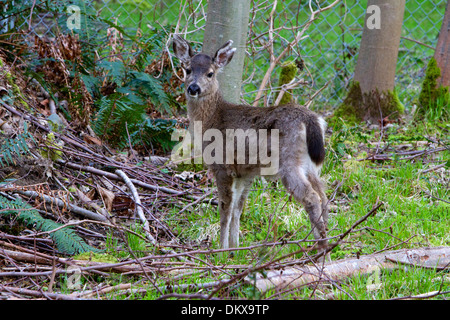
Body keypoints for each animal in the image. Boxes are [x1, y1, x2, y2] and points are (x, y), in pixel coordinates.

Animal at [171, 35, 328, 258]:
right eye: (187, 69)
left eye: (210, 73)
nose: (193, 88)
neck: (212, 119)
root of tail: (312, 119)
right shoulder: (245, 172)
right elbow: (238, 208)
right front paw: (235, 249)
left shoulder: (222, 166)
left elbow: (225, 208)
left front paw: (221, 251)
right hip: (311, 164)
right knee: (323, 195)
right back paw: (327, 242)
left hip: (289, 162)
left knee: (312, 197)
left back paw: (322, 249)